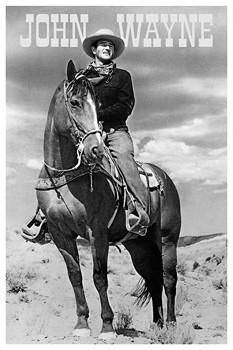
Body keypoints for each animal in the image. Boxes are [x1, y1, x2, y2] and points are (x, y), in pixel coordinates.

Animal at [36, 60, 181, 340]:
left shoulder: (98, 232)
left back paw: (170, 324)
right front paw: (81, 324)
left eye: (97, 105)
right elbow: (75, 276)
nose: (96, 149)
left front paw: (106, 326)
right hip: (140, 246)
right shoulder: (61, 234)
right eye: (74, 102)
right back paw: (157, 323)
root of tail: (164, 177)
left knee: (169, 279)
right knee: (153, 278)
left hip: (168, 239)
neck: (65, 179)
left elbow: (99, 276)